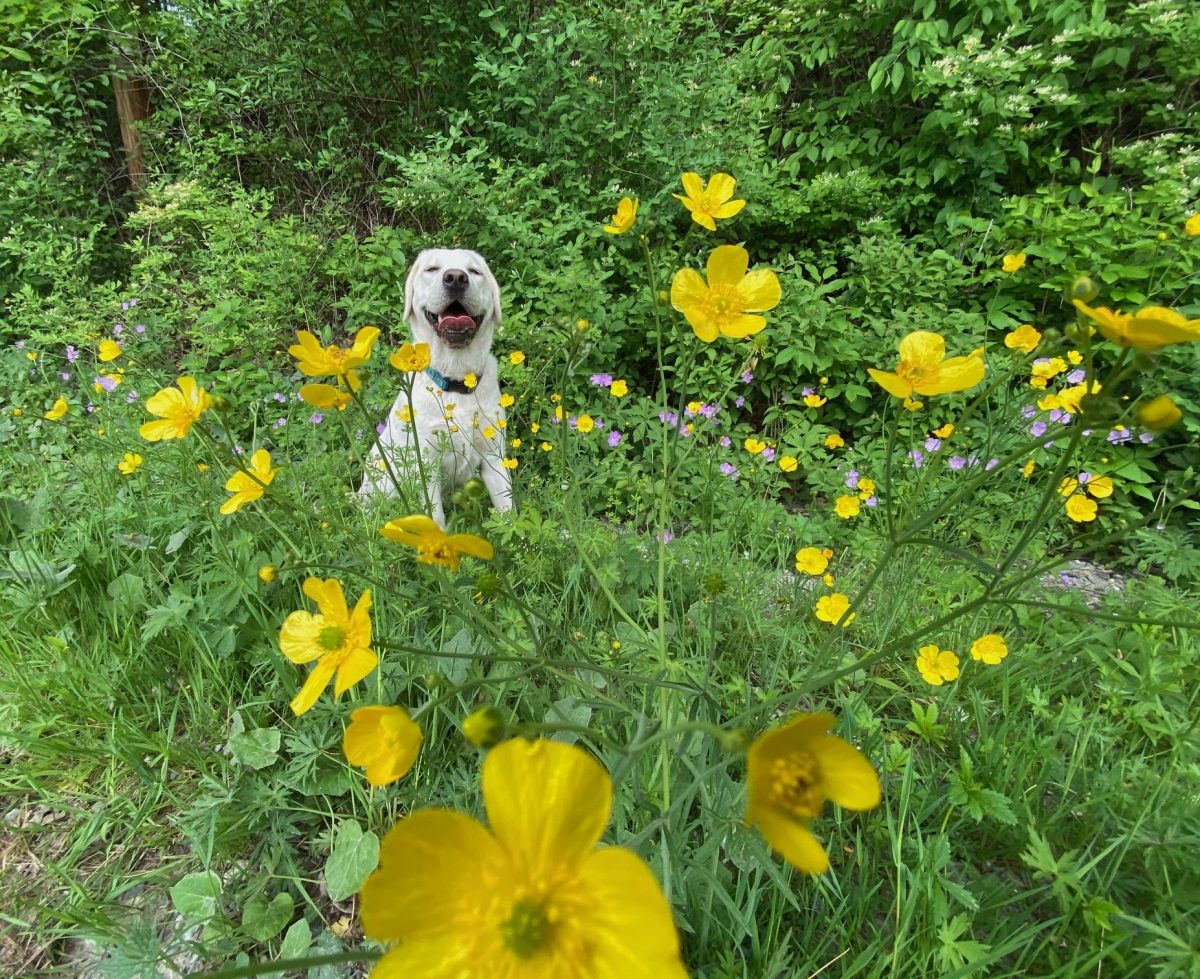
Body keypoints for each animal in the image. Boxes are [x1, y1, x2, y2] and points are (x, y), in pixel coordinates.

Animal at [350, 251, 511, 527]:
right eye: (432, 269)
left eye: (475, 271)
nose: (456, 278)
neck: (457, 382)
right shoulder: (426, 466)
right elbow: (435, 519)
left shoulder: (494, 458)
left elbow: (510, 515)